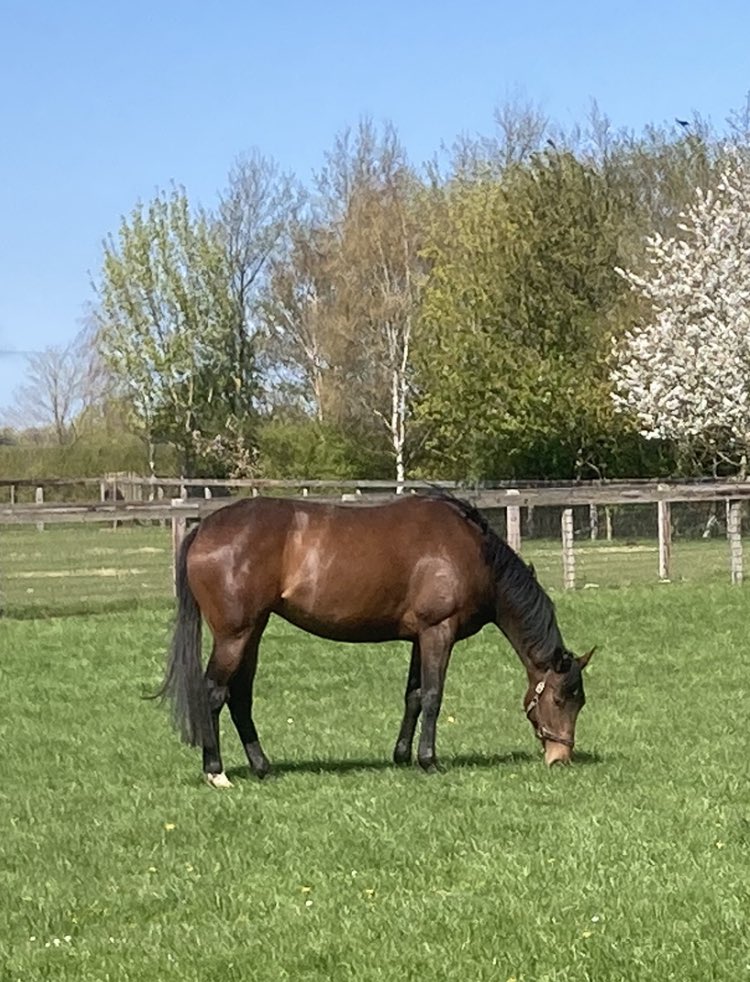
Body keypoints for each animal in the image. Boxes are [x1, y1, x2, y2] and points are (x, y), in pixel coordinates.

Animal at [158, 491, 594, 787]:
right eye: (561, 699)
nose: (560, 758)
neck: (475, 554)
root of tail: (203, 528)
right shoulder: (439, 631)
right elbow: (433, 697)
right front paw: (429, 760)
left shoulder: (420, 637)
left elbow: (413, 696)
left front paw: (402, 756)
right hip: (235, 635)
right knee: (214, 693)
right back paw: (216, 772)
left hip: (253, 632)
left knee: (240, 697)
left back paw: (262, 767)